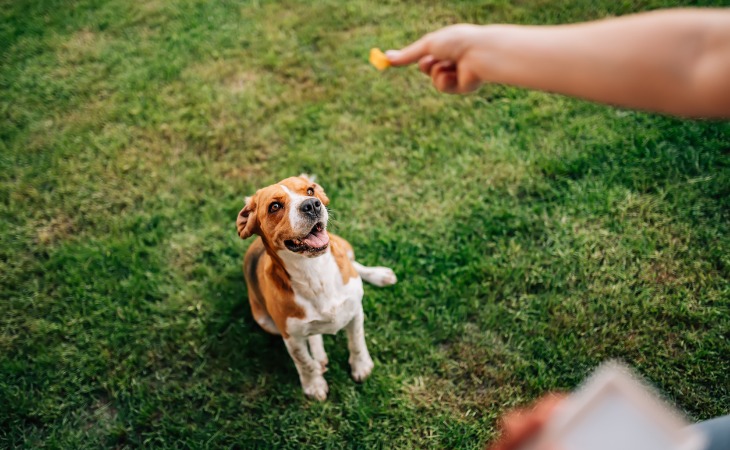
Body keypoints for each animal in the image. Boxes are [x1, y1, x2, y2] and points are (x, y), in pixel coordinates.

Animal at [236, 174, 396, 400]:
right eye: (274, 206)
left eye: (310, 191)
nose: (311, 205)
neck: (314, 272)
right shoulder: (291, 337)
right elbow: (304, 363)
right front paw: (314, 385)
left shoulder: (355, 311)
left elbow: (357, 342)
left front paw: (361, 366)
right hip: (264, 321)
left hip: (344, 247)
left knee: (354, 263)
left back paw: (380, 275)